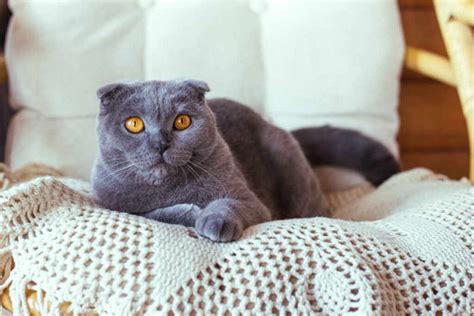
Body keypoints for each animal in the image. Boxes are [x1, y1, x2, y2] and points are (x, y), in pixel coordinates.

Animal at [90, 79, 398, 242]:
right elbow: (154, 212)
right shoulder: (113, 204)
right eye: (133, 124)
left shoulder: (250, 200)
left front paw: (213, 221)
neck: (169, 187)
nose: (160, 143)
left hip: (290, 166)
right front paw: (191, 212)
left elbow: (229, 203)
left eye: (182, 121)